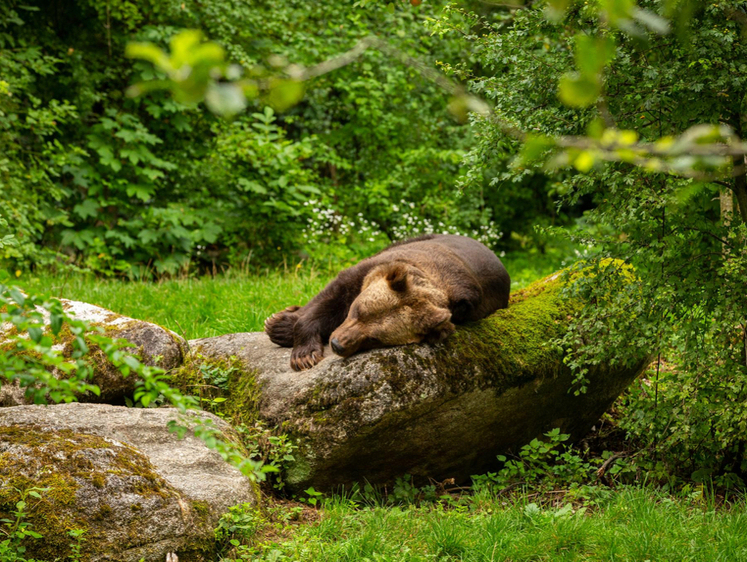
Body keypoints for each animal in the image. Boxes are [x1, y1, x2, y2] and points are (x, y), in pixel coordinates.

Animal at [264, 234, 516, 370]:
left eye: (374, 338)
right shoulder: (370, 269)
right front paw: (302, 353)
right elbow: (329, 299)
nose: (337, 344)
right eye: (357, 311)